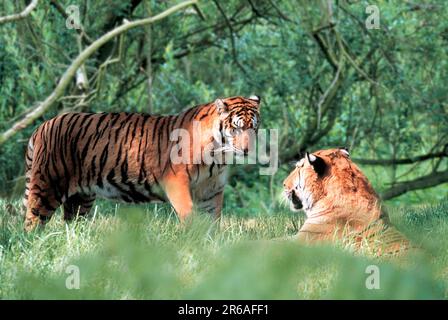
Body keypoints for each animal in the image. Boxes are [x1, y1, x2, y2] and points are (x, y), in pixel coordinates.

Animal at [24, 95, 260, 230]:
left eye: (254, 127)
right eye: (237, 127)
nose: (248, 150)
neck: (217, 157)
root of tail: (42, 126)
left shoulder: (211, 189)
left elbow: (213, 219)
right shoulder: (176, 180)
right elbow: (188, 211)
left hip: (81, 198)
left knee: (72, 224)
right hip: (47, 186)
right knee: (31, 222)